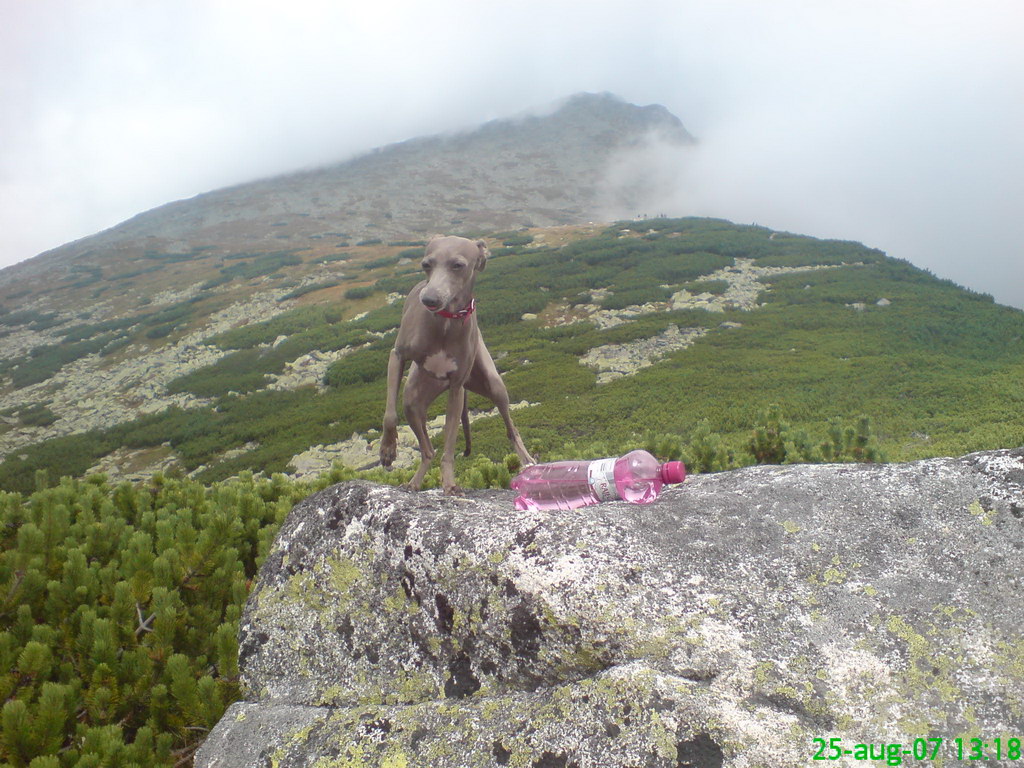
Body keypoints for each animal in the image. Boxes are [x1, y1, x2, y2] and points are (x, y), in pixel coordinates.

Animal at [378, 236, 536, 493]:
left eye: (458, 265)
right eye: (426, 264)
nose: (429, 299)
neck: (446, 322)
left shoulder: (456, 388)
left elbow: (450, 445)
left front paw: (450, 482)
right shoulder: (397, 356)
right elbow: (390, 416)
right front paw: (387, 450)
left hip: (493, 385)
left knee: (511, 429)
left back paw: (526, 460)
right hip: (413, 400)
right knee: (427, 450)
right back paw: (414, 482)